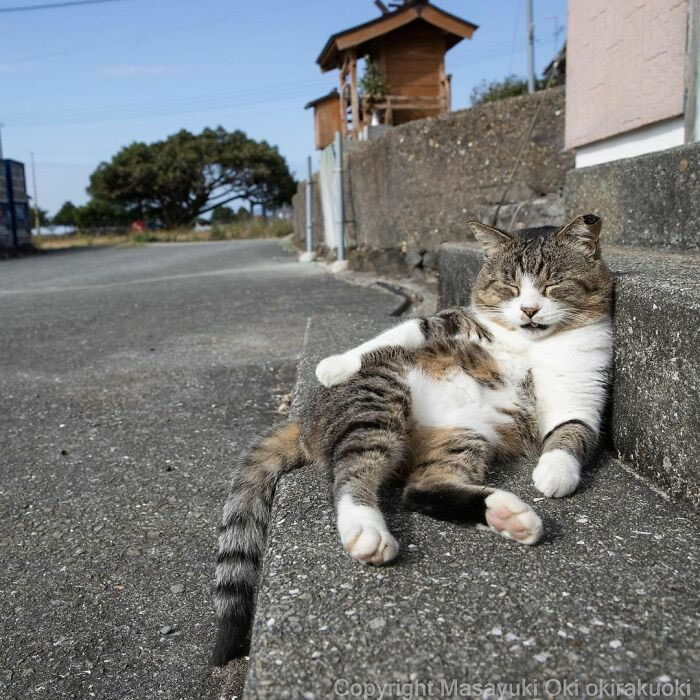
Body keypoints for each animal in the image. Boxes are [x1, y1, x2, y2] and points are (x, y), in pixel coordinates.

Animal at [213, 215, 612, 668]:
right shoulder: (459, 322)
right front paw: (335, 364)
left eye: (552, 285)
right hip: (379, 397)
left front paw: (554, 471)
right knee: (351, 473)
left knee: (420, 489)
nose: (528, 310)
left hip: (461, 436)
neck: (532, 345)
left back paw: (507, 515)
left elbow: (572, 432)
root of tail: (305, 419)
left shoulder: (584, 391)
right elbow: (410, 327)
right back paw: (365, 528)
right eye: (509, 287)